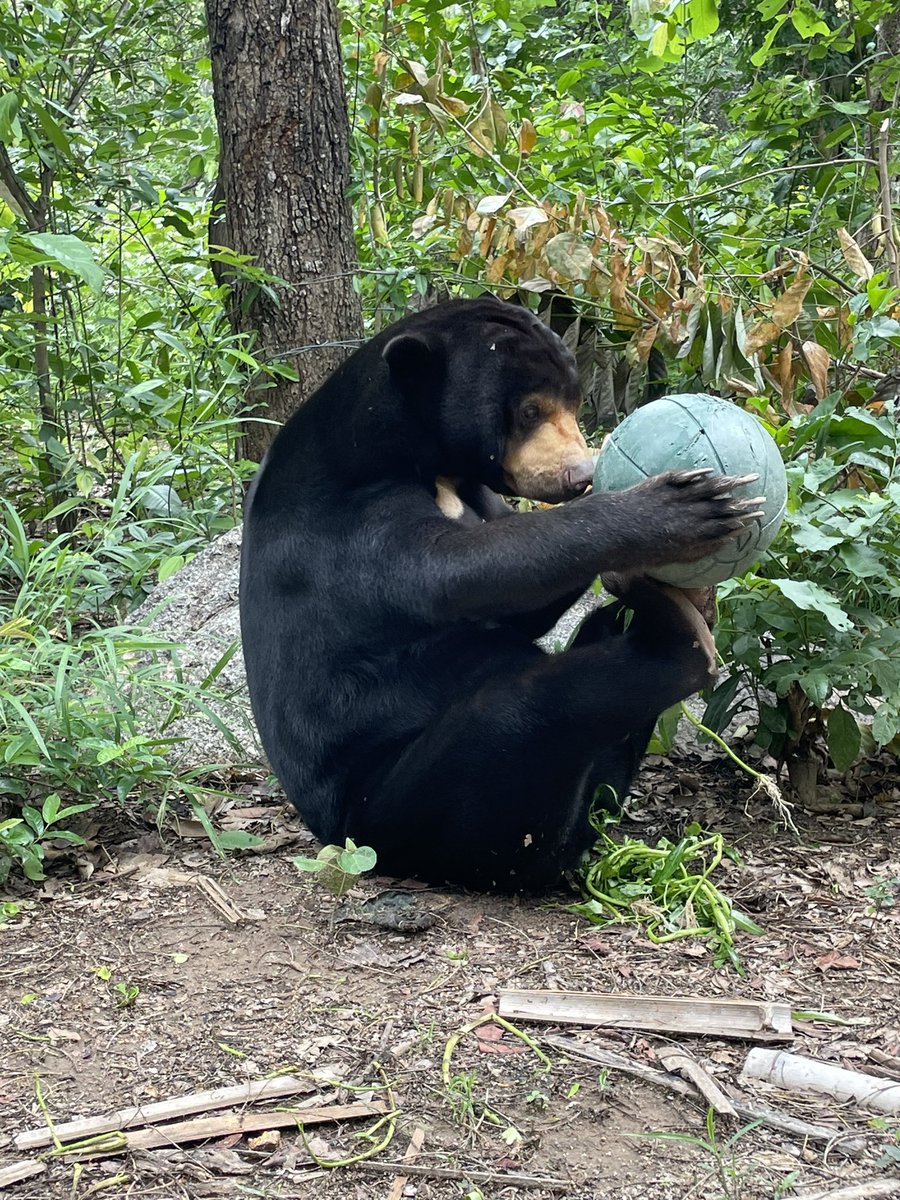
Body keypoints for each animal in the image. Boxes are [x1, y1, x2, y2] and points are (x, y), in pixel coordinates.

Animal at [239, 296, 762, 891]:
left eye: (574, 402)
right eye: (530, 411)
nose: (579, 475)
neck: (414, 453)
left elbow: (518, 606)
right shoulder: (348, 516)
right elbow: (458, 572)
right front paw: (681, 508)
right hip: (423, 806)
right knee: (529, 709)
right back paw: (679, 636)